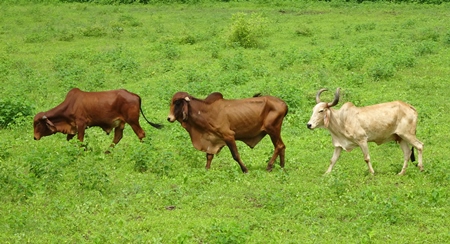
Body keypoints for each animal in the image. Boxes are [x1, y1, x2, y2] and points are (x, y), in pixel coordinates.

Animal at [33, 87, 163, 149]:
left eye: (38, 124)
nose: (35, 137)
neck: (70, 105)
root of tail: (135, 95)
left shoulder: (81, 124)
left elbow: (80, 141)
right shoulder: (72, 129)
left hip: (133, 121)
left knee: (141, 134)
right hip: (121, 123)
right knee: (117, 137)